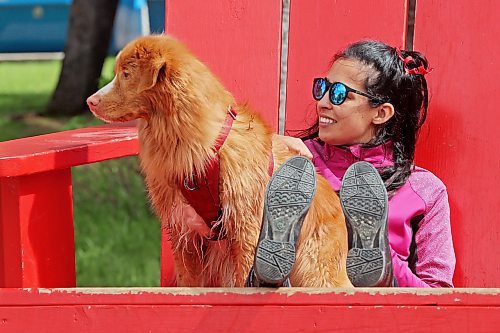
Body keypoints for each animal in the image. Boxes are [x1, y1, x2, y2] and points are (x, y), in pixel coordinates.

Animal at [87, 35, 352, 286]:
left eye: (126, 74)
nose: (90, 101)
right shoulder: (184, 232)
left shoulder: (246, 229)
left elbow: (243, 281)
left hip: (314, 271)